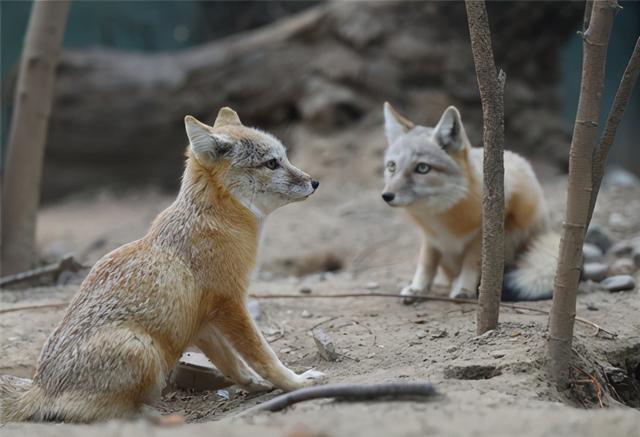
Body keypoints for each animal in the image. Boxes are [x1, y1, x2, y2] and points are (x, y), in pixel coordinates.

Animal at [1, 106, 324, 422]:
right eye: (272, 163)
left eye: (285, 157)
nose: (315, 182)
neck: (211, 221)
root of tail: (40, 387)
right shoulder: (231, 304)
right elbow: (263, 355)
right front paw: (295, 382)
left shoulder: (203, 322)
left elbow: (233, 365)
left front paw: (255, 384)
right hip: (142, 348)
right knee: (101, 415)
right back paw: (150, 414)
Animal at [382, 102, 556, 304]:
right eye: (392, 166)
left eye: (422, 168)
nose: (386, 195)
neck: (443, 219)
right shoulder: (430, 238)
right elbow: (426, 263)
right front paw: (418, 288)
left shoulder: (486, 231)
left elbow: (472, 263)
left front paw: (463, 288)